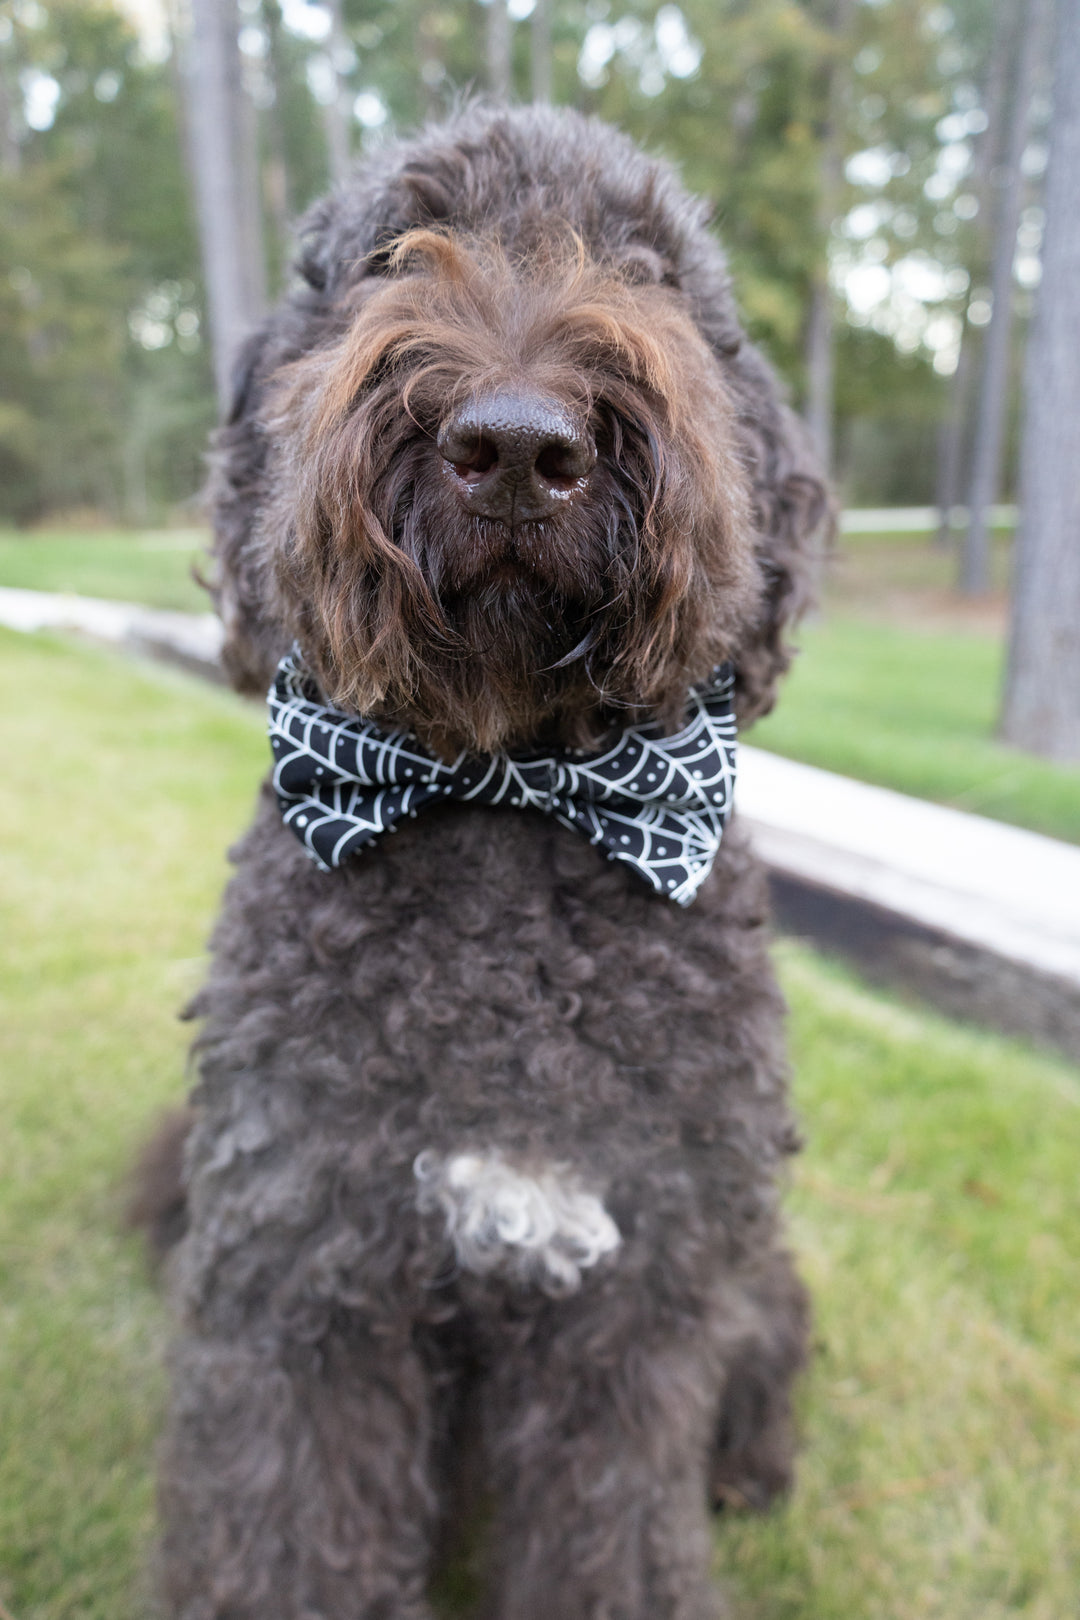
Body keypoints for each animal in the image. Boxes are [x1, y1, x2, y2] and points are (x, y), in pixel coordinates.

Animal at [152, 101, 829, 1620]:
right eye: (393, 252)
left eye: (648, 269)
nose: (518, 445)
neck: (514, 784)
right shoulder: (305, 1271)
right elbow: (292, 1541)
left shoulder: (636, 1311)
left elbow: (613, 1538)